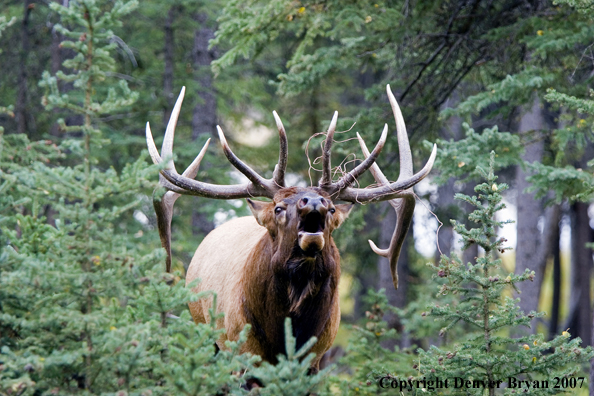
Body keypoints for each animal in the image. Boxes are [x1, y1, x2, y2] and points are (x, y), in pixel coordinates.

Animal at [145, 84, 434, 372]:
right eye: (278, 208)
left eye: (332, 208)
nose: (314, 202)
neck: (288, 332)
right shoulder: (243, 349)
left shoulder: (317, 354)